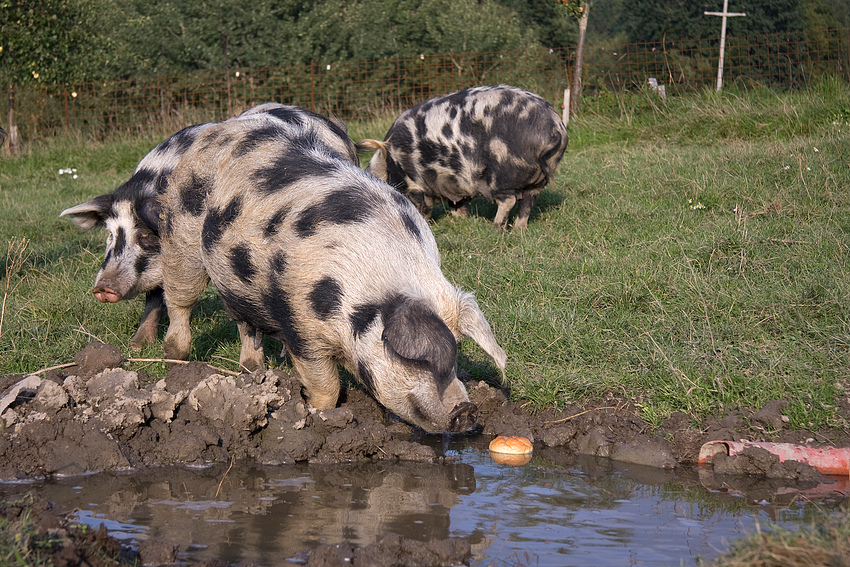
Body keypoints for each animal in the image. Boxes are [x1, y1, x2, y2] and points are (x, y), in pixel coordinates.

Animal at [158, 113, 504, 432]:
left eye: (456, 353)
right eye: (420, 360)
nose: (467, 410)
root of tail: (219, 128)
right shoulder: (299, 320)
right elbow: (327, 383)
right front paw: (318, 415)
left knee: (246, 325)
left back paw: (253, 371)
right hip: (181, 235)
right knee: (179, 298)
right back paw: (175, 358)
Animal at [354, 82, 568, 231]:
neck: (392, 165)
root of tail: (555, 126)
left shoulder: (416, 183)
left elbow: (421, 204)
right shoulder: (454, 183)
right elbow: (457, 203)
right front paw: (460, 220)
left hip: (503, 173)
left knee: (509, 201)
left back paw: (496, 229)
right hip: (538, 180)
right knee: (528, 203)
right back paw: (518, 230)